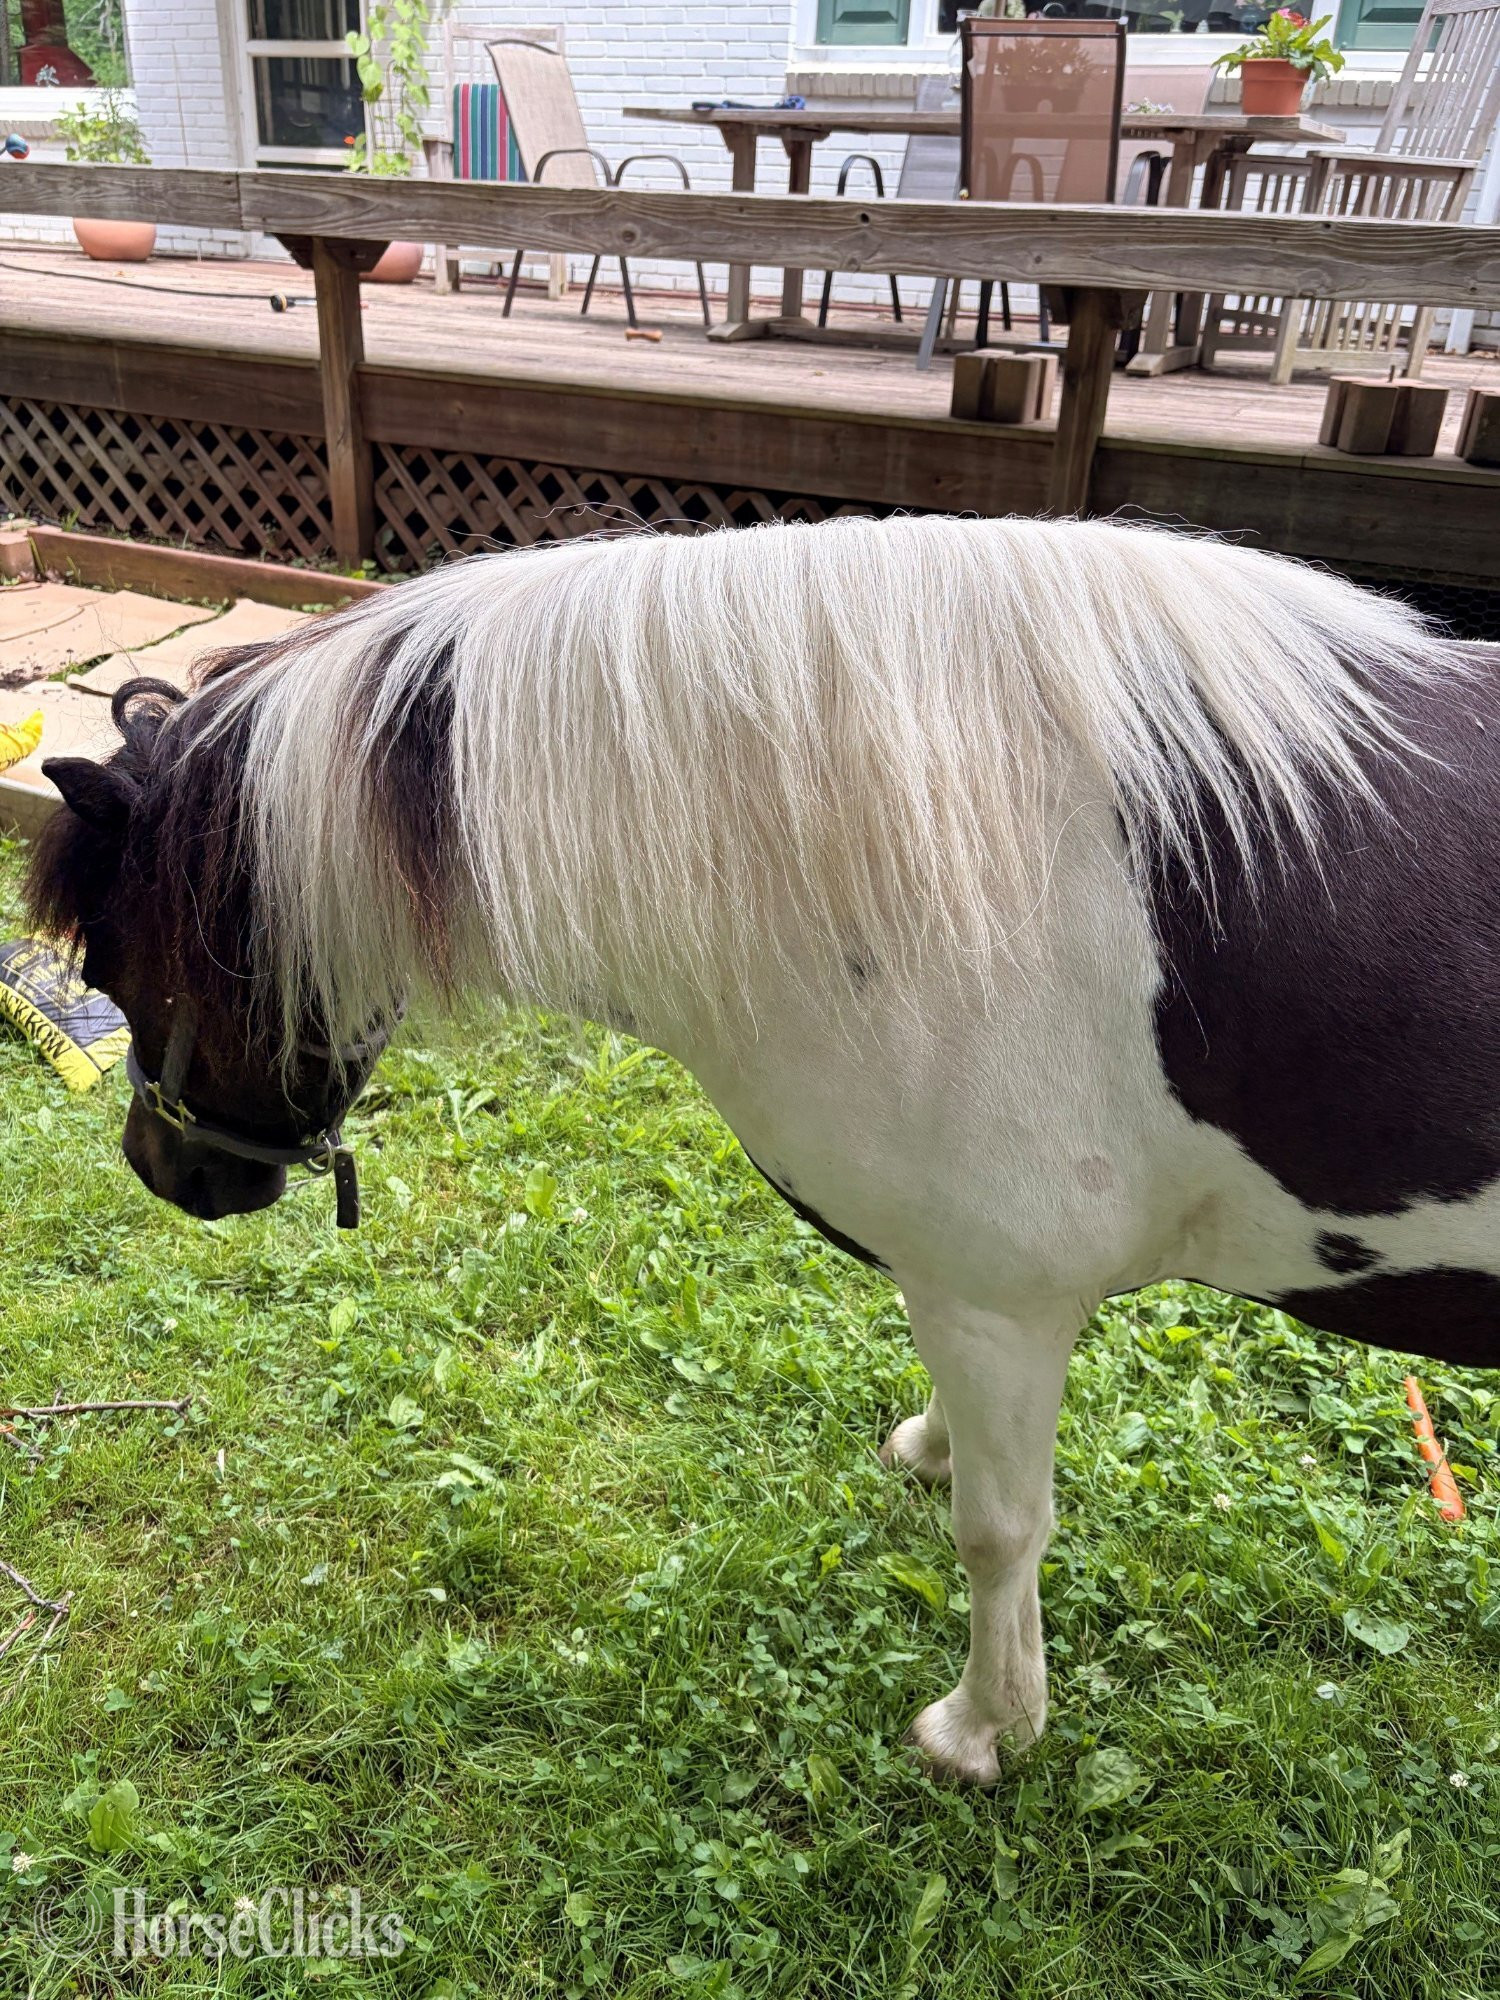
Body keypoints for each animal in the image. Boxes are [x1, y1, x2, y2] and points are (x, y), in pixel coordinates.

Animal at [26, 514, 1500, 1787]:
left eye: (115, 958)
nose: (164, 1170)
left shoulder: (999, 1300)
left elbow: (1000, 1534)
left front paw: (983, 1728)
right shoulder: (979, 1304)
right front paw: (936, 1454)